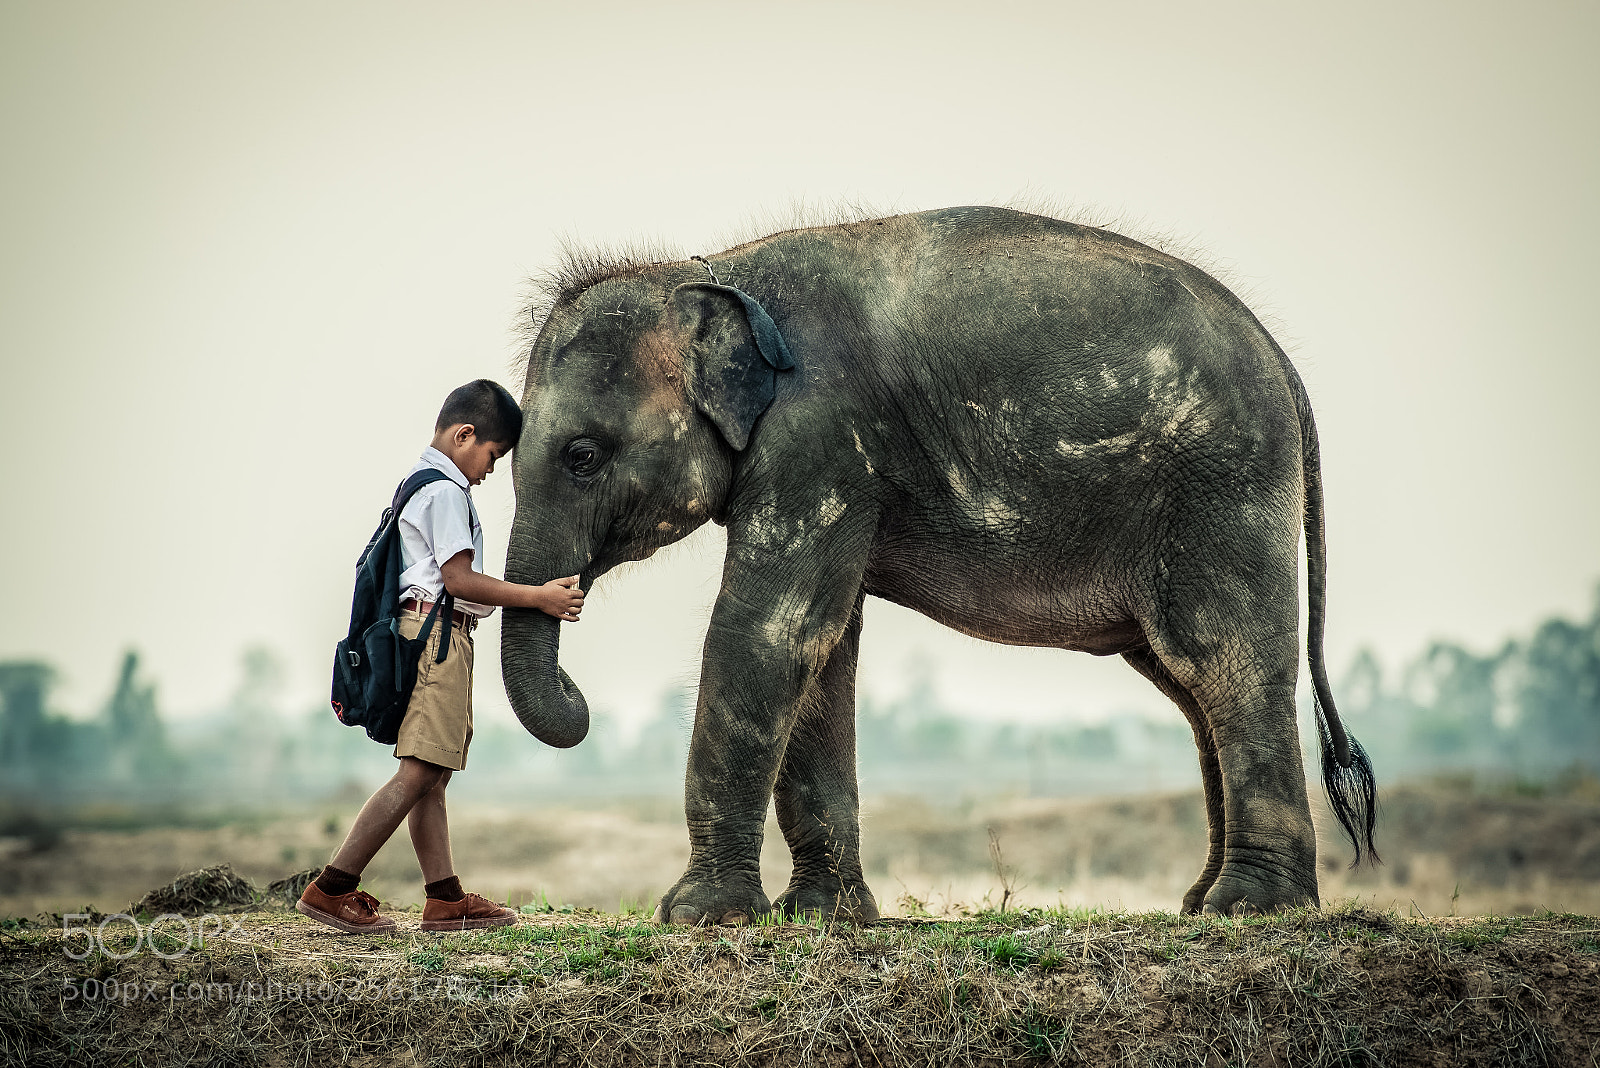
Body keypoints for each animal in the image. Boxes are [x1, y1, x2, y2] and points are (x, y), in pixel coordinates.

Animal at [500, 205, 1377, 922]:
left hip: (1222, 488)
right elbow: (824, 650)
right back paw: (1201, 903)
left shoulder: (821, 439)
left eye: (582, 456)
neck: (712, 269)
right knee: (1191, 688)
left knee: (1225, 661)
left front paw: (701, 917)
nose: (578, 691)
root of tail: (1284, 365)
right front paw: (822, 918)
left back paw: (1251, 909)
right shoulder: (836, 470)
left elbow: (771, 634)